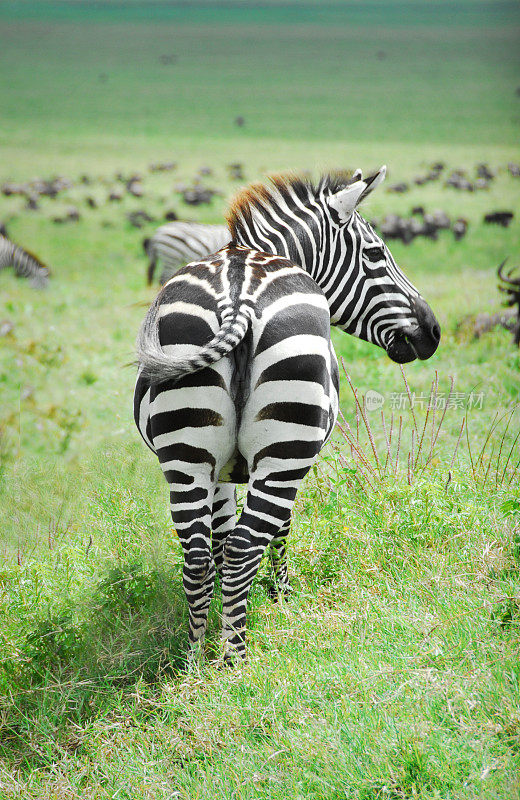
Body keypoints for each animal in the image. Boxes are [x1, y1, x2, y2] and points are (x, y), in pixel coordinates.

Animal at [134, 164, 438, 664]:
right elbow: (278, 530)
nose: (433, 332)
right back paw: (235, 661)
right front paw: (280, 597)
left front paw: (227, 609)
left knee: (197, 556)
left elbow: (219, 539)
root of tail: (237, 295)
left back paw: (196, 660)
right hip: (286, 449)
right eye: (377, 253)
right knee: (244, 547)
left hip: (185, 452)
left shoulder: (222, 468)